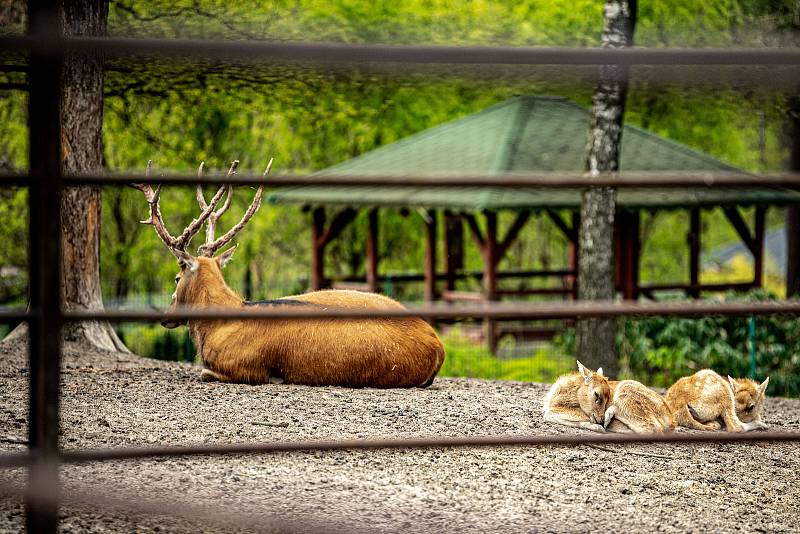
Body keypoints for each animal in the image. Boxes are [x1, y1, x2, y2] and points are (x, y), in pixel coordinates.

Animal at [131, 159, 444, 390]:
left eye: (176, 278)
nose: (165, 317)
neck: (218, 325)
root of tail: (439, 346)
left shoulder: (245, 368)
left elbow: (203, 373)